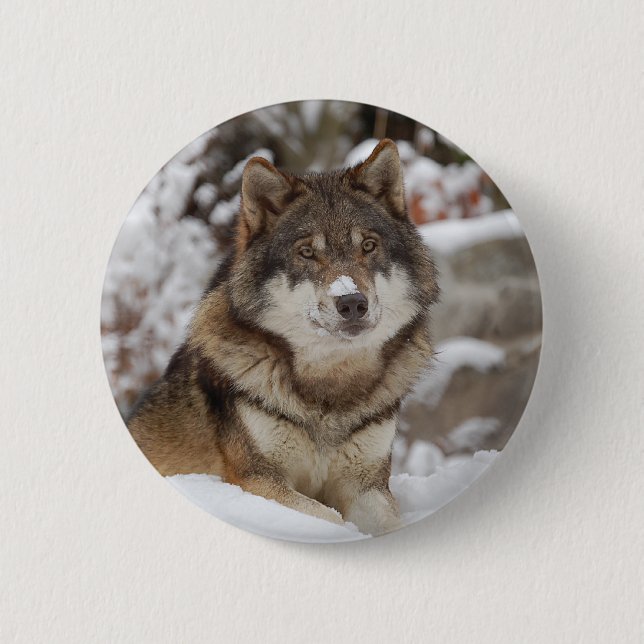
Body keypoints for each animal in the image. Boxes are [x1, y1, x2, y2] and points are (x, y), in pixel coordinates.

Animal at [128, 139, 439, 536]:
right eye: (306, 252)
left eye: (368, 246)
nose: (352, 302)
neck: (330, 390)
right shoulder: (257, 481)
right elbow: (329, 519)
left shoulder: (367, 486)